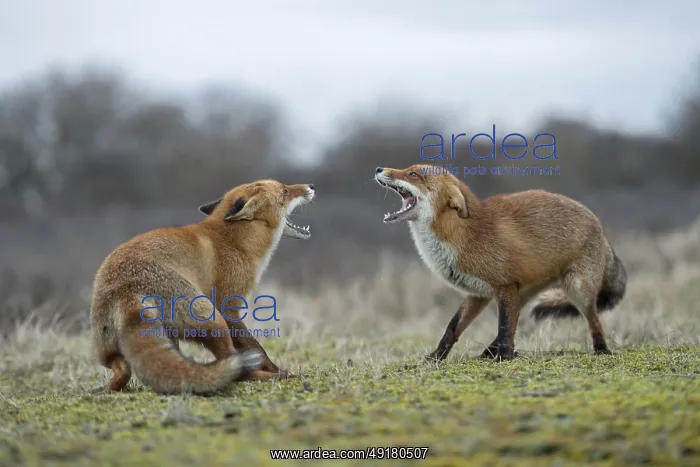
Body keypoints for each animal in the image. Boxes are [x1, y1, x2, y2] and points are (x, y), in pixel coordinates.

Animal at [89, 179, 315, 395]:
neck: (236, 241)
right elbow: (255, 346)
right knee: (232, 364)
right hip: (212, 317)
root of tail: (124, 288)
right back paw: (267, 375)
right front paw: (276, 369)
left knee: (122, 368)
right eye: (285, 190)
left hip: (110, 348)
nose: (311, 186)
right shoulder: (228, 306)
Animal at [374, 164, 626, 361]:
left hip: (577, 289)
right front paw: (435, 358)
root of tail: (599, 226)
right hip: (523, 293)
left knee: (594, 320)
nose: (378, 169)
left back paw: (602, 350)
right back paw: (488, 353)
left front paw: (504, 358)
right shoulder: (479, 293)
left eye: (413, 174)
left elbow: (504, 326)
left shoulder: (503, 285)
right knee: (515, 321)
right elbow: (453, 328)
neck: (461, 236)